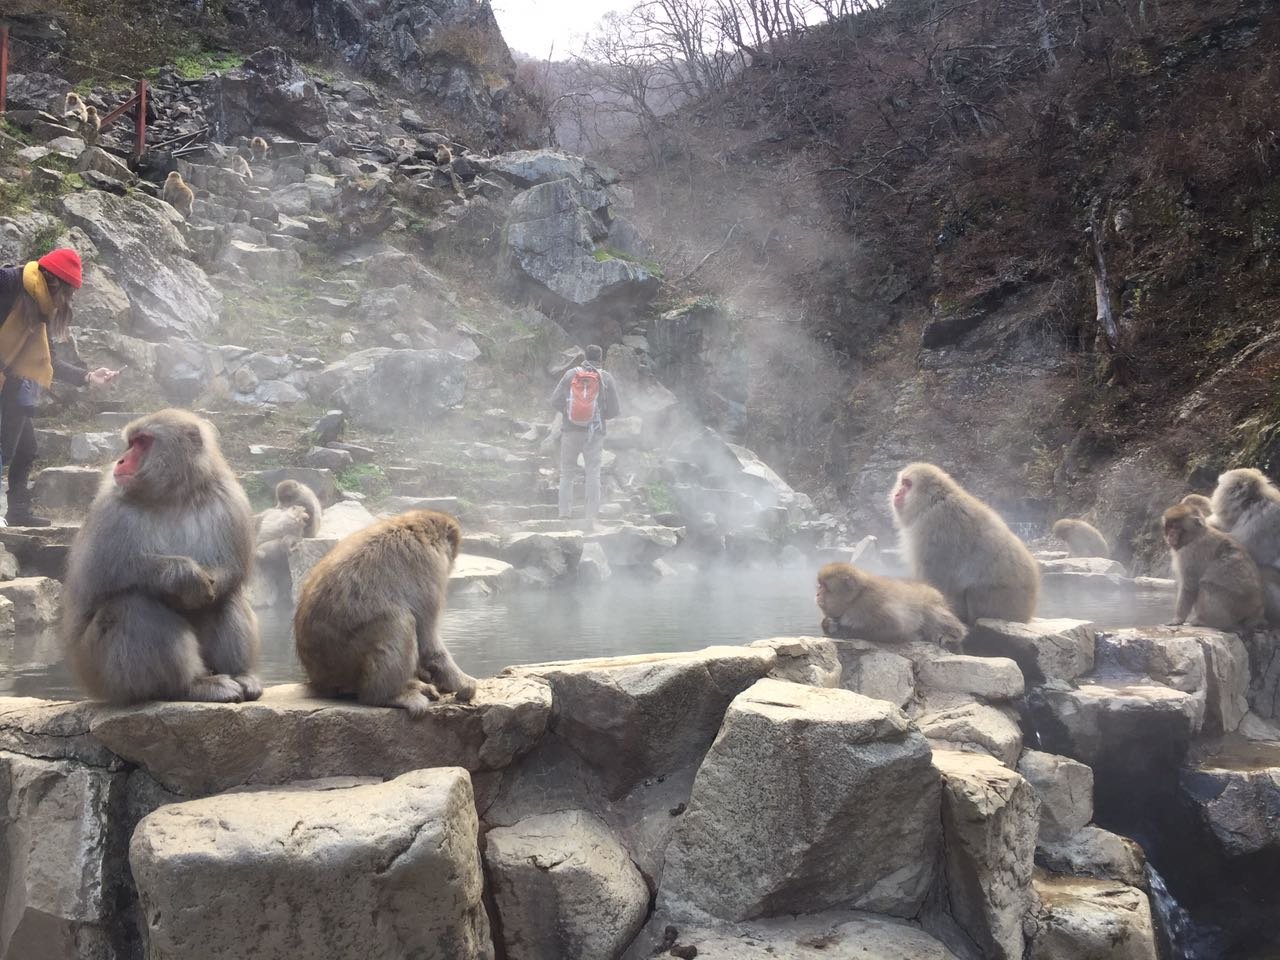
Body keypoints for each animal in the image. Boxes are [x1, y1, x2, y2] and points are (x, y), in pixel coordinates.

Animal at [62, 409, 262, 705]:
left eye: (143, 442)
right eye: (131, 443)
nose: (121, 460)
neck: (172, 496)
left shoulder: (230, 502)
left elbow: (229, 572)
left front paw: (209, 580)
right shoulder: (110, 510)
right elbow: (99, 576)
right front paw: (184, 575)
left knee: (226, 598)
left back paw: (240, 676)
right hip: (98, 670)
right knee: (133, 603)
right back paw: (189, 686)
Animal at [294, 510, 477, 717]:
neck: (413, 527)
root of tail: (318, 680)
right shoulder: (431, 568)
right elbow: (429, 644)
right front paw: (463, 683)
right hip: (344, 663)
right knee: (398, 621)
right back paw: (387, 696)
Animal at [816, 562, 966, 650]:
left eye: (825, 588)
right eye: (820, 585)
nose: (817, 594)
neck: (855, 599)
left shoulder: (870, 604)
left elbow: (895, 626)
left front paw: (845, 631)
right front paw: (828, 623)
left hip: (933, 603)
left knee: (932, 615)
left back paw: (952, 635)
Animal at [891, 462, 1040, 624]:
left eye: (908, 484)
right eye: (902, 482)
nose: (898, 493)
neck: (932, 502)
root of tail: (1025, 614)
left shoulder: (933, 527)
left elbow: (938, 578)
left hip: (996, 602)